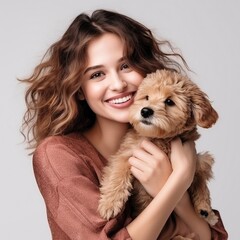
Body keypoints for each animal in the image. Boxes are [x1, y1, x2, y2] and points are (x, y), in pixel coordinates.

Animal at [98, 69, 218, 227]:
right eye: (146, 97)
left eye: (169, 101)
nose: (145, 111)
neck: (161, 139)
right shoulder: (126, 153)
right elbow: (117, 174)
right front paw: (109, 204)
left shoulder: (196, 161)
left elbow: (198, 178)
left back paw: (206, 211)